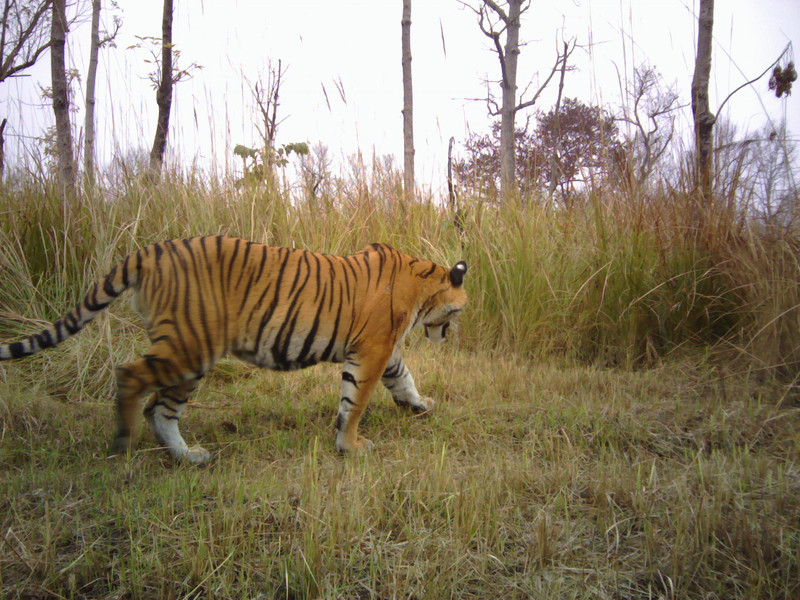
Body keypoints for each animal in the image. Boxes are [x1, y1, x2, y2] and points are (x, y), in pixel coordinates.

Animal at [0, 236, 468, 464]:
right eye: (459, 311)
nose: (450, 336)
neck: (423, 283)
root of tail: (150, 250)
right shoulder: (371, 348)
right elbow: (355, 401)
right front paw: (350, 446)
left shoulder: (384, 351)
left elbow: (402, 377)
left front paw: (419, 406)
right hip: (190, 347)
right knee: (131, 378)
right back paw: (122, 443)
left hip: (188, 355)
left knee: (160, 410)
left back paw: (188, 457)